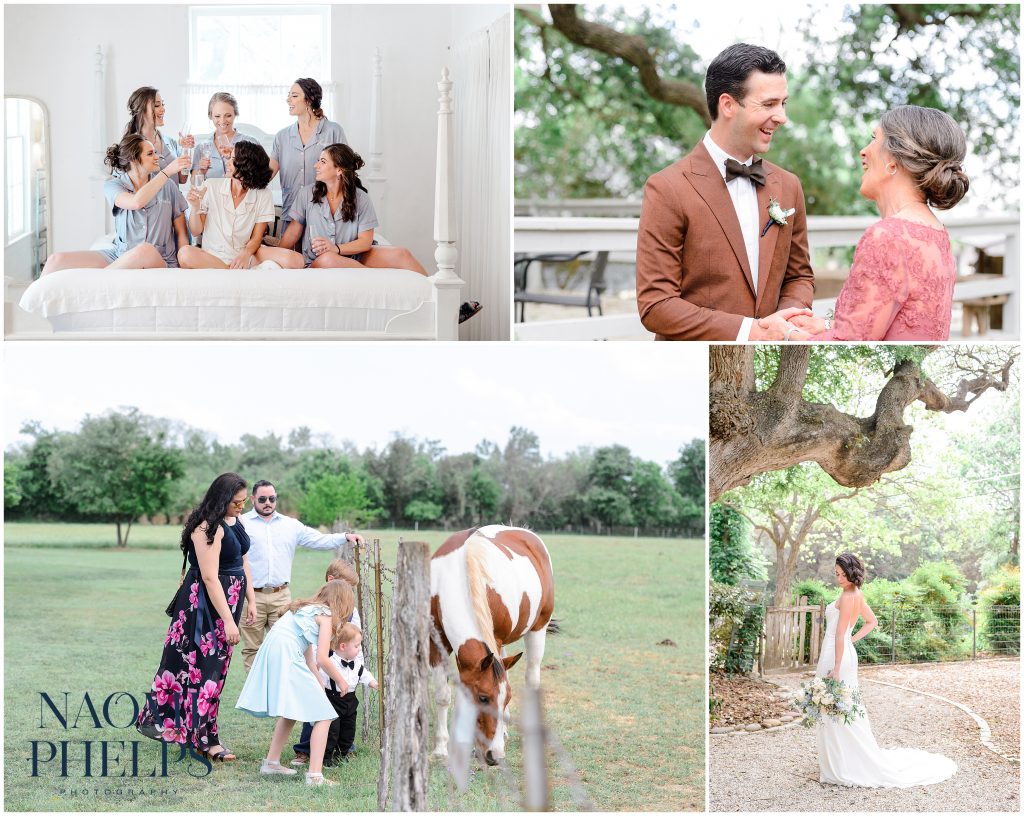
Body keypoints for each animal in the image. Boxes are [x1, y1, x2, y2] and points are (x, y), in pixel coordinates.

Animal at [428, 522, 557, 765]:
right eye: (483, 698)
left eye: (508, 699)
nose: (495, 756)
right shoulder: (435, 640)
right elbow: (442, 695)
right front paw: (441, 747)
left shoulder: (494, 638)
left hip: (538, 629)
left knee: (532, 678)